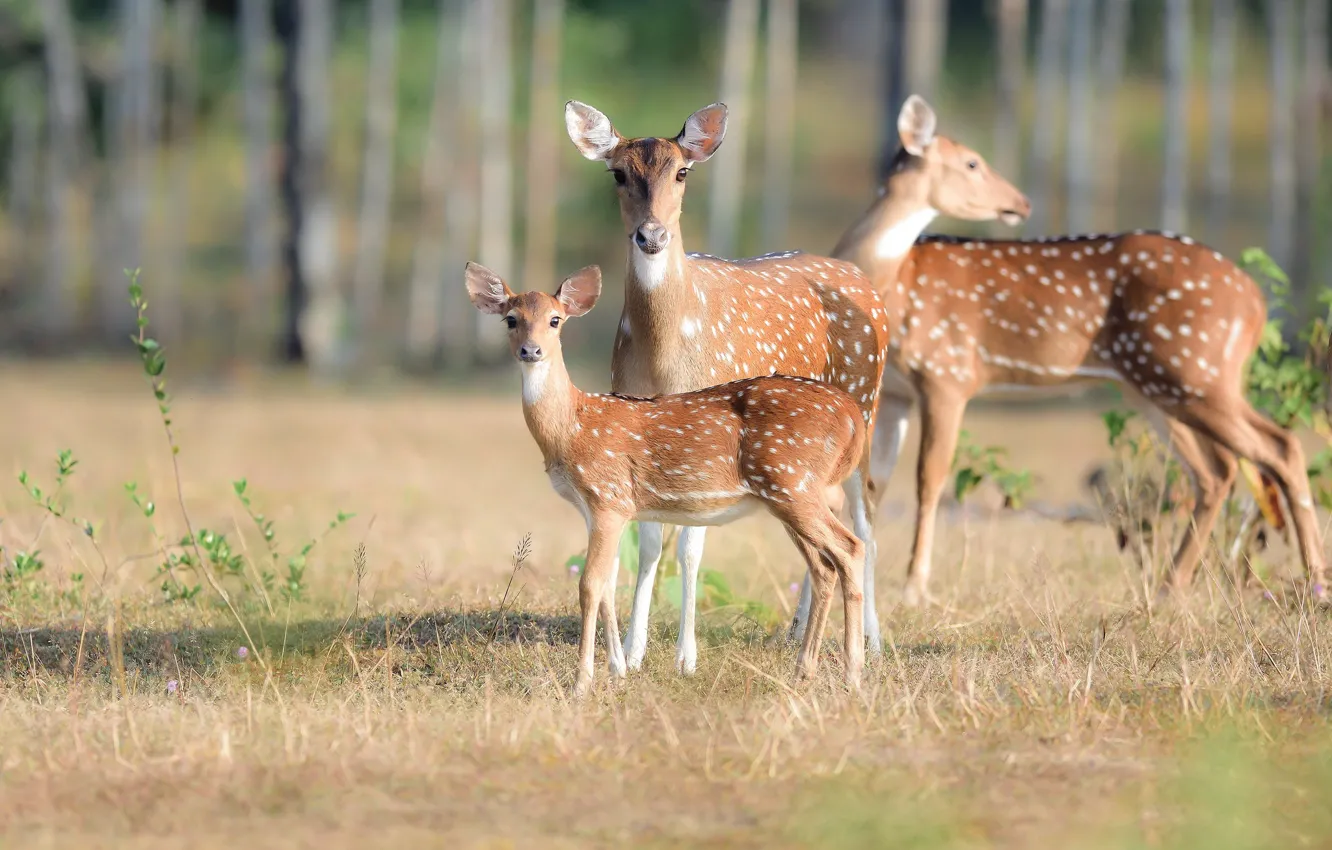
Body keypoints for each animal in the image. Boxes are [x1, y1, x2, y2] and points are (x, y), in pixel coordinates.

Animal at [564, 99, 895, 671]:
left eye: (682, 172)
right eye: (618, 173)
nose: (652, 236)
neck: (664, 354)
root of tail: (861, 279)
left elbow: (690, 546)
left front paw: (686, 657)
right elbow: (649, 541)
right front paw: (634, 652)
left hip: (865, 400)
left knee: (866, 511)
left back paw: (870, 640)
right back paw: (797, 632)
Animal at [793, 94, 1326, 618]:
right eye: (972, 162)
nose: (1020, 202)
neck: (891, 280)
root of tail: (1256, 302)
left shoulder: (949, 372)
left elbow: (929, 480)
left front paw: (914, 589)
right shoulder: (898, 392)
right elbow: (873, 485)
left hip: (1195, 372)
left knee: (1277, 447)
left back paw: (1314, 583)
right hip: (1154, 387)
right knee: (1218, 472)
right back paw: (1172, 588)